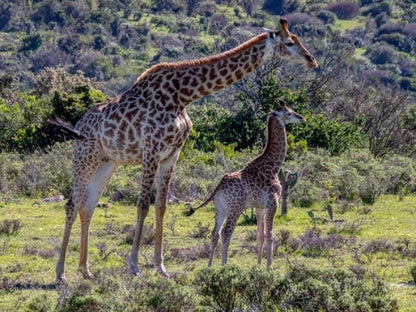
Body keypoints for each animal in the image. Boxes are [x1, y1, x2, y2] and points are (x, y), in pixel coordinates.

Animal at [187, 100, 304, 266]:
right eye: (289, 112)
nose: (301, 118)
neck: (274, 166)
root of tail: (218, 188)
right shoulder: (273, 202)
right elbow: (270, 234)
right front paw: (269, 267)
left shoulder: (260, 206)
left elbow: (260, 235)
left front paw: (259, 265)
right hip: (235, 208)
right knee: (226, 232)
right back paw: (224, 265)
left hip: (220, 209)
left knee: (215, 233)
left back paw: (209, 266)